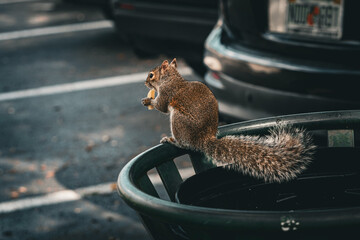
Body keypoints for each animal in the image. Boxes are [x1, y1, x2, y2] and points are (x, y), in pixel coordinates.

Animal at [141, 59, 316, 183]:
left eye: (151, 75)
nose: (145, 83)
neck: (171, 79)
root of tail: (203, 139)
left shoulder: (167, 93)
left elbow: (161, 106)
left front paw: (148, 101)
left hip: (178, 121)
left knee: (184, 144)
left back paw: (171, 140)